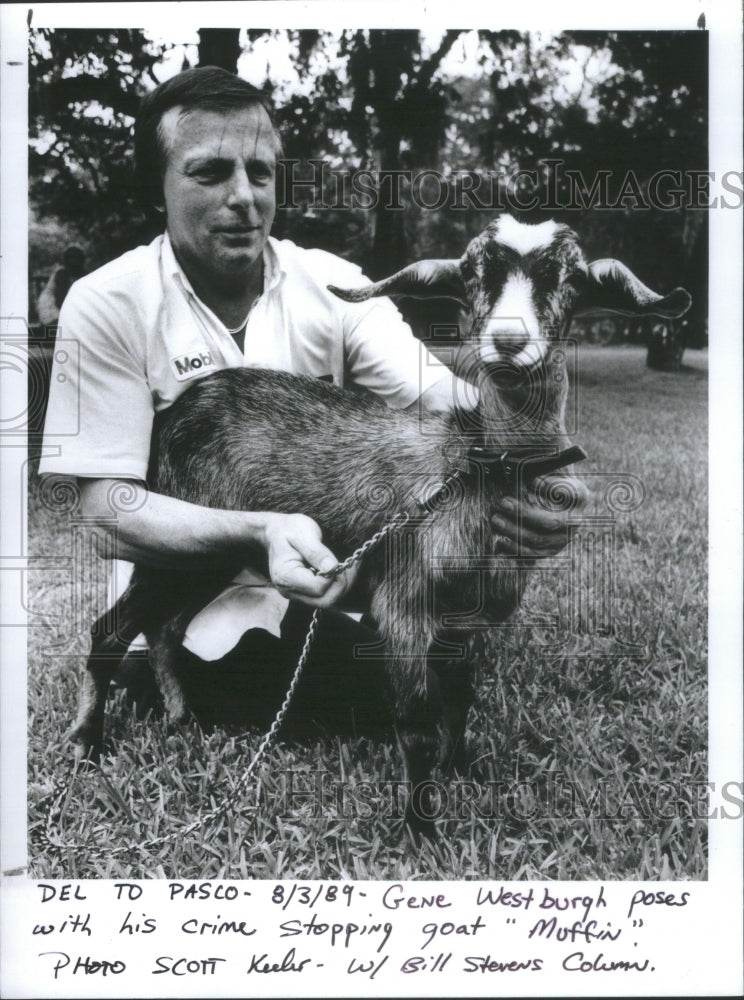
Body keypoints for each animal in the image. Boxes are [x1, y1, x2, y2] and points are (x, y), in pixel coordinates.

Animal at [71, 217, 692, 836]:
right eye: (473, 272)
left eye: (570, 276)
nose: (509, 342)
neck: (475, 466)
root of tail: (175, 412)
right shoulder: (404, 604)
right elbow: (417, 723)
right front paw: (422, 829)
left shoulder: (462, 616)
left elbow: (460, 698)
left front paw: (460, 768)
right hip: (181, 536)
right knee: (111, 631)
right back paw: (88, 745)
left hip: (210, 553)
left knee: (166, 628)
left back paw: (182, 719)